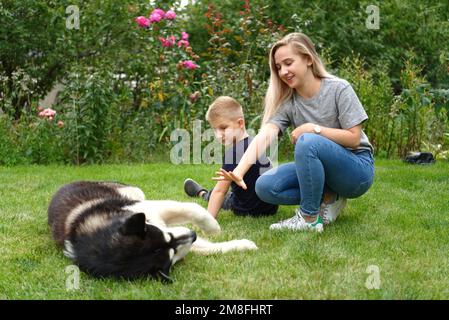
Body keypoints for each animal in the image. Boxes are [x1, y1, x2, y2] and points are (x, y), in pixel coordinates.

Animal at [48, 181, 256, 282]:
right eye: (172, 255)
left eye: (167, 236)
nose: (194, 235)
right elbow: (211, 247)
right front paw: (243, 244)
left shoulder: (146, 208)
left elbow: (192, 209)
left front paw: (213, 226)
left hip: (134, 192)